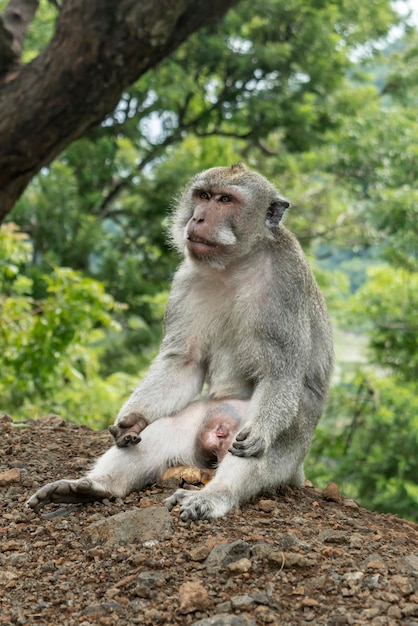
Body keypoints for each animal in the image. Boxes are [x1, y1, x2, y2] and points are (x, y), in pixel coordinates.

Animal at [27, 163, 334, 520]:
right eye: (203, 196)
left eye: (225, 200)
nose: (198, 218)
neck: (236, 263)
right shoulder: (186, 280)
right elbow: (183, 362)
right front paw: (131, 420)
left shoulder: (286, 284)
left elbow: (279, 374)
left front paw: (260, 433)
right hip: (203, 417)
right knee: (159, 434)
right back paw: (93, 488)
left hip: (292, 441)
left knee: (257, 449)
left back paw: (214, 495)